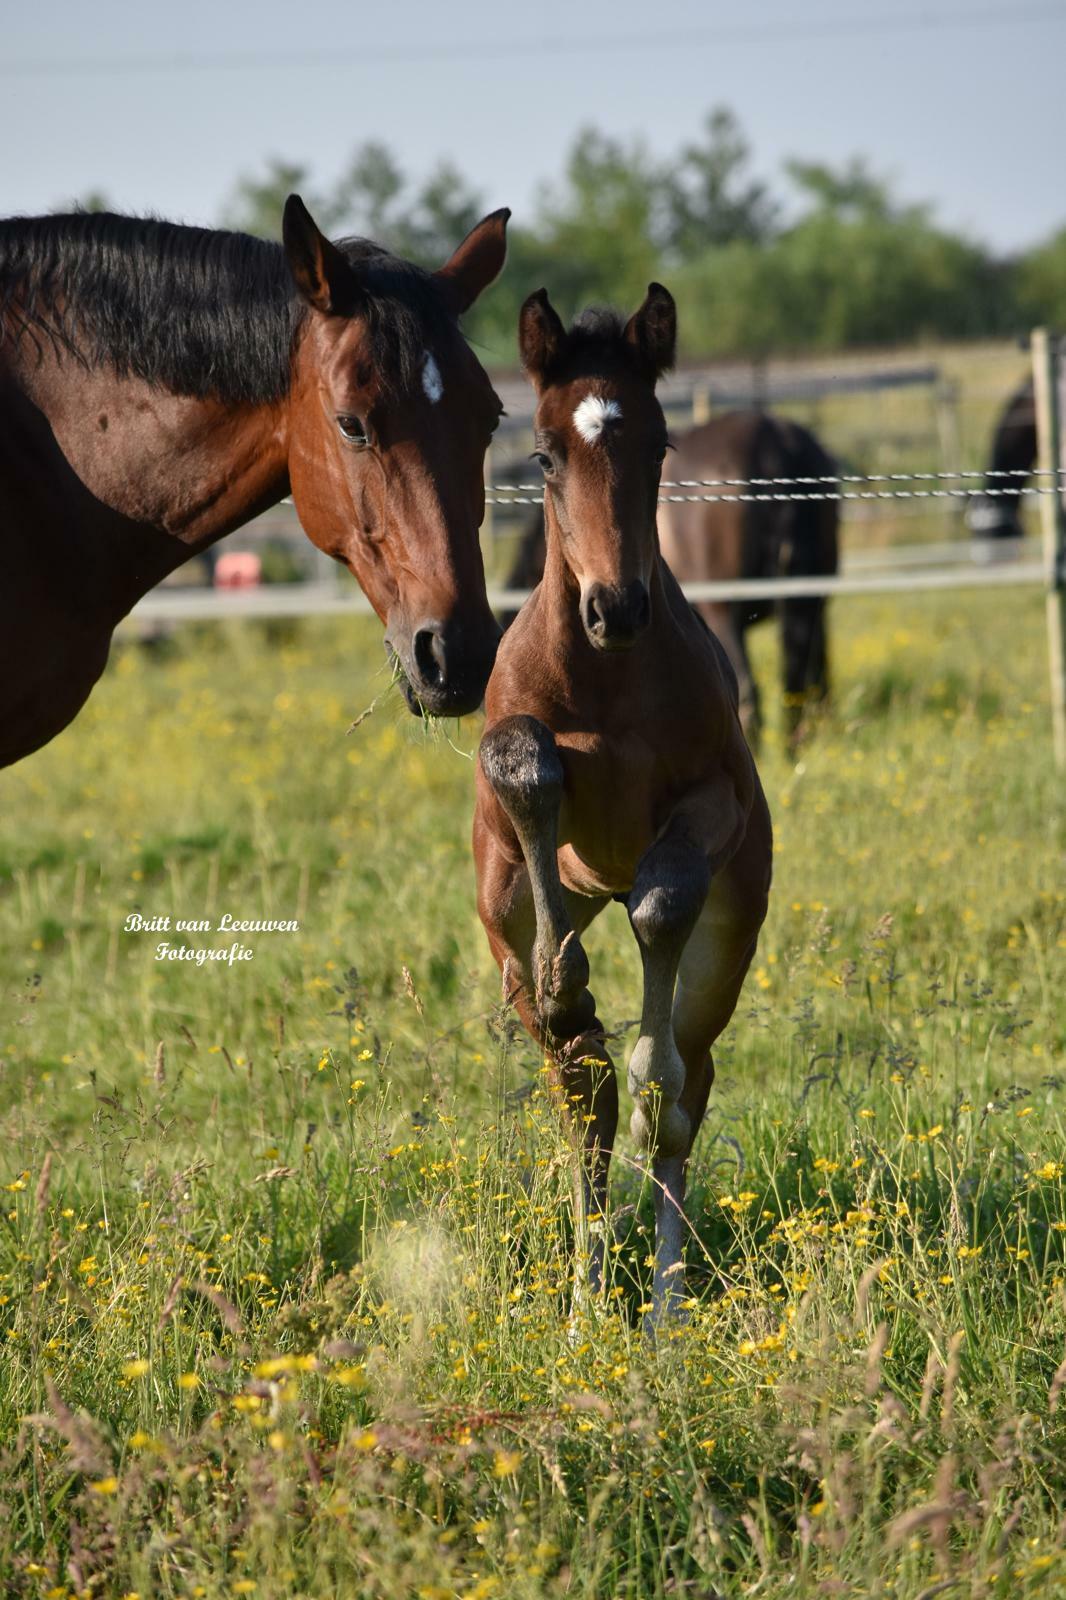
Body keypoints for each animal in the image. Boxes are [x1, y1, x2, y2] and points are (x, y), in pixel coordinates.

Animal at [473, 284, 771, 1324]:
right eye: (543, 454)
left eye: (660, 445)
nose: (616, 607)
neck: (604, 677)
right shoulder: (506, 802)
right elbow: (520, 765)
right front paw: (565, 975)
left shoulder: (715, 804)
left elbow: (661, 902)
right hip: (510, 923)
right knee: (584, 1093)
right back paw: (584, 1301)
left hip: (731, 938)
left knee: (677, 1091)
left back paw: (664, 1307)